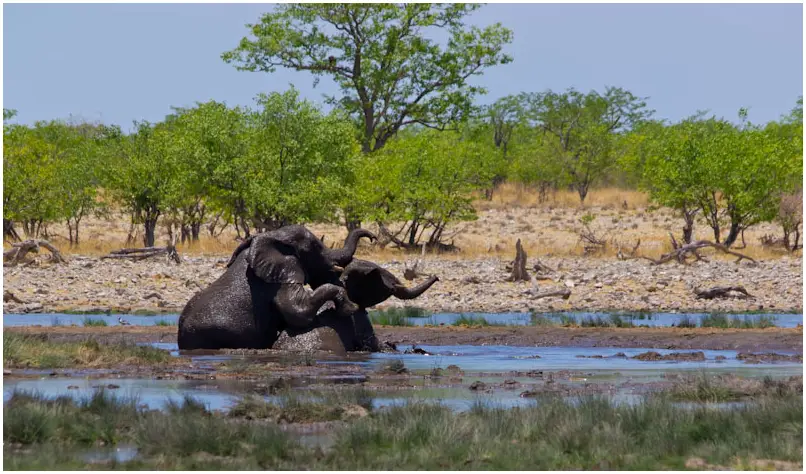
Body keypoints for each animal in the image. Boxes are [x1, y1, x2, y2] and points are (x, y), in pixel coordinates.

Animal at [177, 225, 376, 350]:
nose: (373, 237)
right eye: (315, 247)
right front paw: (350, 307)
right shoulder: (278, 282)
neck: (273, 236)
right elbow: (298, 313)